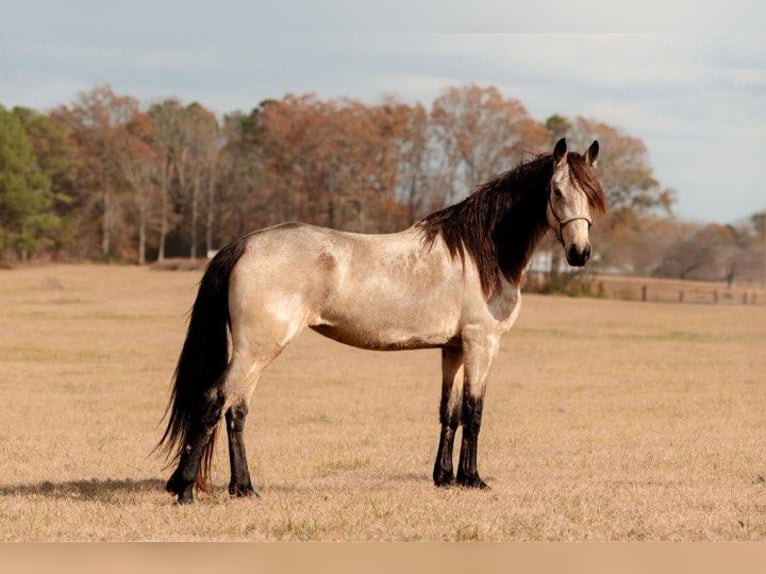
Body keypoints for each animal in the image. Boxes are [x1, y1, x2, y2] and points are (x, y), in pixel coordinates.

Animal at [159, 138, 608, 504]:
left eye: (592, 195)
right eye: (556, 191)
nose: (580, 254)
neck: (480, 253)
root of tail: (244, 243)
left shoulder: (453, 347)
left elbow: (450, 412)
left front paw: (444, 478)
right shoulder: (481, 343)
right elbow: (475, 411)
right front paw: (472, 479)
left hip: (255, 352)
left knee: (236, 411)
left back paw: (244, 488)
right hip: (257, 349)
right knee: (214, 401)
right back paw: (185, 490)